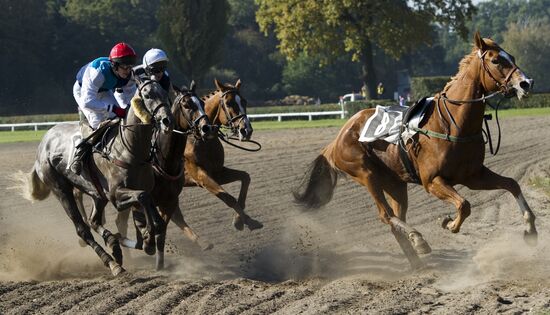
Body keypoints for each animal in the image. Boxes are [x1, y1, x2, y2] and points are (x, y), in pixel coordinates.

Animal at [17, 77, 177, 276]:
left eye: (165, 92)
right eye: (147, 95)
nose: (167, 121)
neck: (130, 150)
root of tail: (44, 142)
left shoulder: (141, 189)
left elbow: (150, 211)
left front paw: (146, 240)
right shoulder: (116, 195)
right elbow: (142, 197)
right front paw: (147, 238)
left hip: (96, 194)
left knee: (94, 220)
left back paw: (114, 244)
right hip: (61, 190)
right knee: (83, 229)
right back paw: (113, 263)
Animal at [113, 81, 219, 270]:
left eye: (201, 101)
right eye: (186, 104)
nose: (206, 128)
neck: (163, 160)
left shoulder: (169, 200)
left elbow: (162, 229)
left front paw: (159, 263)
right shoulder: (147, 199)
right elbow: (154, 224)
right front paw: (147, 242)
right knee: (121, 222)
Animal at [296, 31, 540, 270]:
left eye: (512, 57)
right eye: (496, 60)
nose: (526, 83)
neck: (452, 124)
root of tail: (337, 139)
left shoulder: (473, 176)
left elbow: (511, 184)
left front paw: (530, 230)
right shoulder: (432, 181)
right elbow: (464, 205)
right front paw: (450, 223)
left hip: (395, 183)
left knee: (395, 217)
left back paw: (416, 261)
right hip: (366, 174)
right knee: (386, 215)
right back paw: (418, 239)